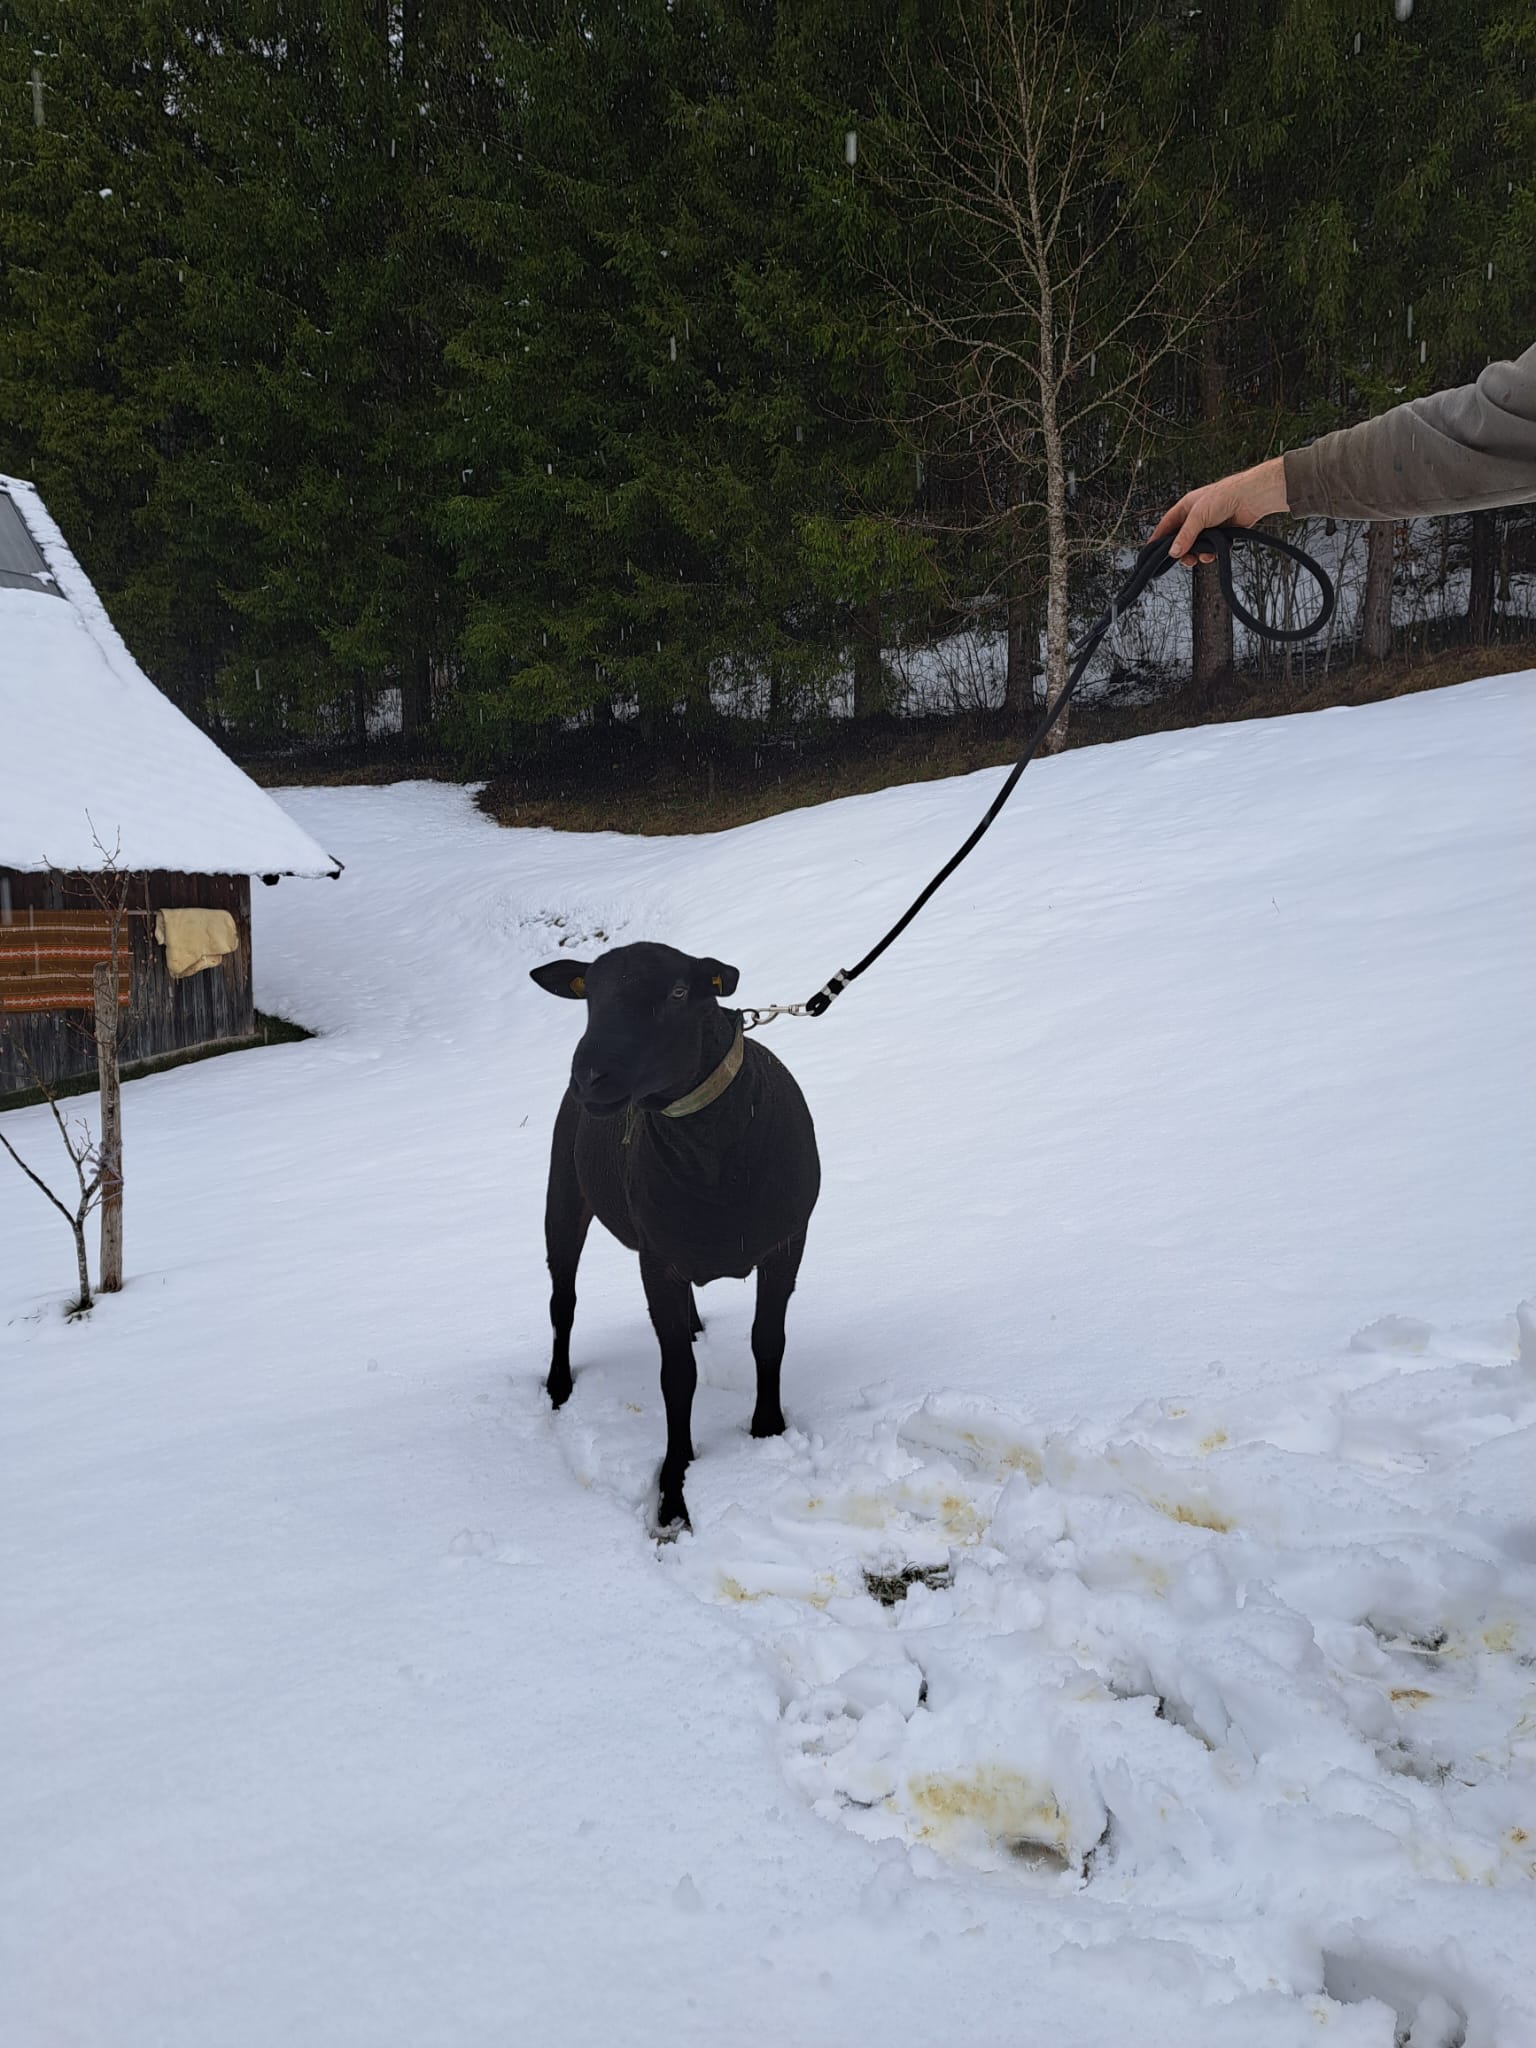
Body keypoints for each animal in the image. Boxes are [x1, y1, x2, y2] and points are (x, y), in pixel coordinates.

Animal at [530, 941, 820, 1531]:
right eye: (588, 994)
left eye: (680, 992)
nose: (590, 1077)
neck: (713, 1157)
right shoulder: (657, 1261)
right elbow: (677, 1377)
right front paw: (673, 1489)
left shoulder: (786, 1241)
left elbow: (768, 1340)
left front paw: (767, 1431)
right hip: (564, 1195)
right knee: (562, 1301)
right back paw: (559, 1386)